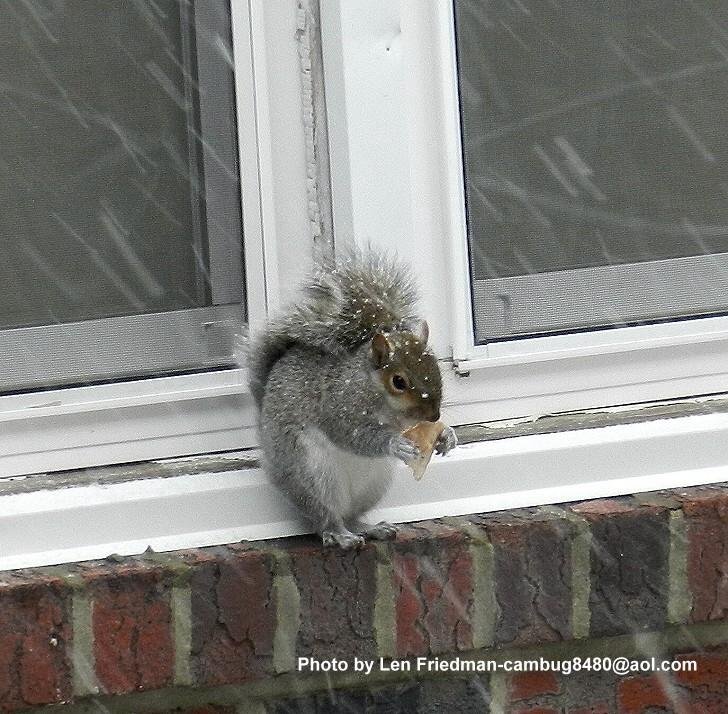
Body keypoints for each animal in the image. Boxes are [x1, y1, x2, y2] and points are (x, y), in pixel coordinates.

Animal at [247, 247, 457, 549]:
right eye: (399, 381)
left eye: (435, 366)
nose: (434, 415)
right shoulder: (338, 403)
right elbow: (352, 435)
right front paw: (395, 444)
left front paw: (447, 436)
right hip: (312, 474)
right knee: (325, 517)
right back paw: (339, 534)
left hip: (374, 485)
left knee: (352, 516)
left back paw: (370, 528)